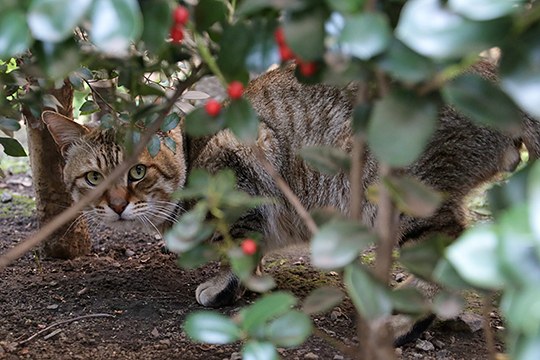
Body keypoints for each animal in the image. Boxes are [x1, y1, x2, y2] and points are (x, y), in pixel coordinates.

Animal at [43, 63, 540, 342]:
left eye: (137, 172)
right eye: (93, 178)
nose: (116, 205)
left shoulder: (245, 162)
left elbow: (238, 245)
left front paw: (223, 288)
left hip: (405, 196)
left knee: (449, 258)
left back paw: (402, 323)